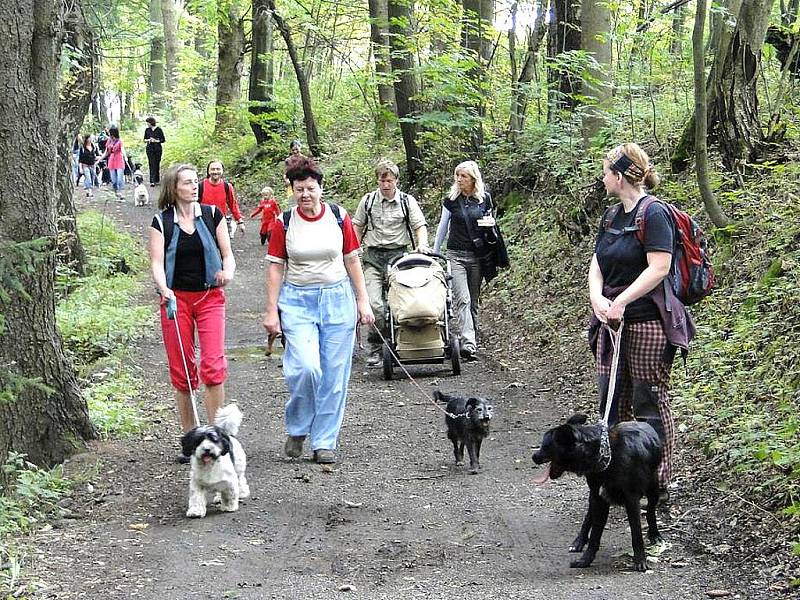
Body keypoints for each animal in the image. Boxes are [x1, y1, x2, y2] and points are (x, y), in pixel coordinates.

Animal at [532, 412, 664, 572]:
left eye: (546, 446)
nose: (534, 457)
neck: (607, 454)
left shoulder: (632, 500)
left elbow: (636, 533)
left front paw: (640, 560)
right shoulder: (600, 499)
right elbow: (595, 534)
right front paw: (585, 560)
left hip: (653, 489)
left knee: (650, 510)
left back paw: (654, 534)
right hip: (594, 495)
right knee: (588, 517)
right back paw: (579, 541)